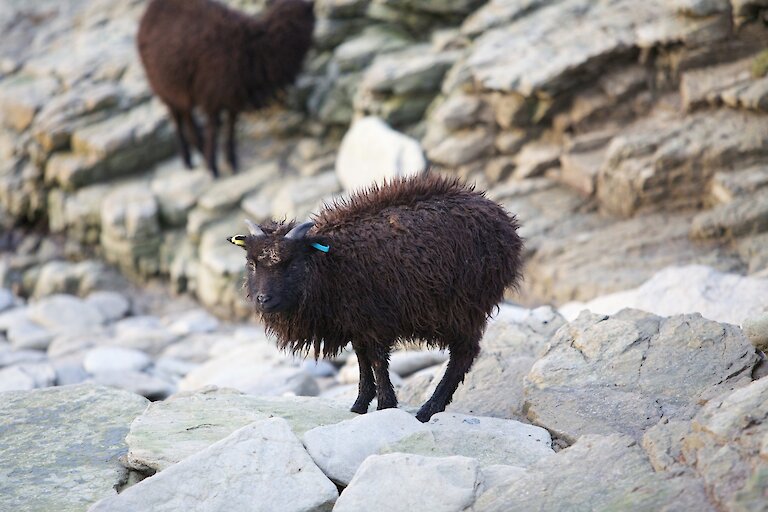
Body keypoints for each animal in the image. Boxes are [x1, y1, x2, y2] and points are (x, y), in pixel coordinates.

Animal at [137, 0, 315, 177]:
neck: (257, 48)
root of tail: (151, 8)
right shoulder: (212, 96)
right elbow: (214, 130)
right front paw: (213, 168)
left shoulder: (233, 96)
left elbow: (230, 129)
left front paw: (231, 162)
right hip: (161, 85)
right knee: (177, 119)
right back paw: (188, 160)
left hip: (181, 87)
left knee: (187, 115)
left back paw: (200, 148)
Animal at [228, 173, 524, 422]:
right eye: (252, 263)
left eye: (290, 263)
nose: (263, 299)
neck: (329, 264)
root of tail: (505, 221)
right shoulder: (357, 321)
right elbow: (362, 359)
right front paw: (360, 405)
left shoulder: (376, 319)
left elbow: (378, 361)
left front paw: (385, 406)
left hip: (465, 304)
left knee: (464, 354)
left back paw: (428, 409)